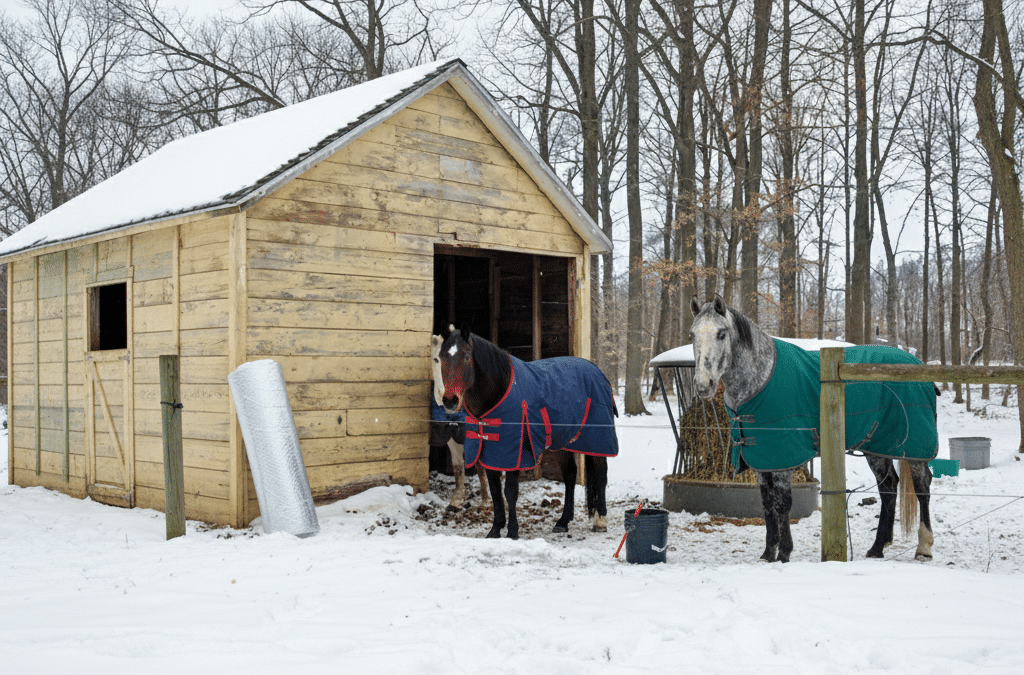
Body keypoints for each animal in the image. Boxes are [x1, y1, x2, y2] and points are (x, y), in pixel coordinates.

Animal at [430, 335, 488, 510]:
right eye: (436, 359)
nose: (447, 398)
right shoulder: (452, 438)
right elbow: (457, 466)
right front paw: (457, 500)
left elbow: (480, 466)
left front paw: (485, 501)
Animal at [689, 295, 937, 563]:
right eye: (692, 334)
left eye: (721, 334)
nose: (703, 386)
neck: (759, 379)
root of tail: (917, 364)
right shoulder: (763, 459)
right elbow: (767, 504)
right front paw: (768, 553)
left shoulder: (782, 459)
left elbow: (782, 503)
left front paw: (784, 553)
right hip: (877, 446)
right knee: (888, 487)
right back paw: (877, 547)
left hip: (915, 447)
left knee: (922, 487)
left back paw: (923, 548)